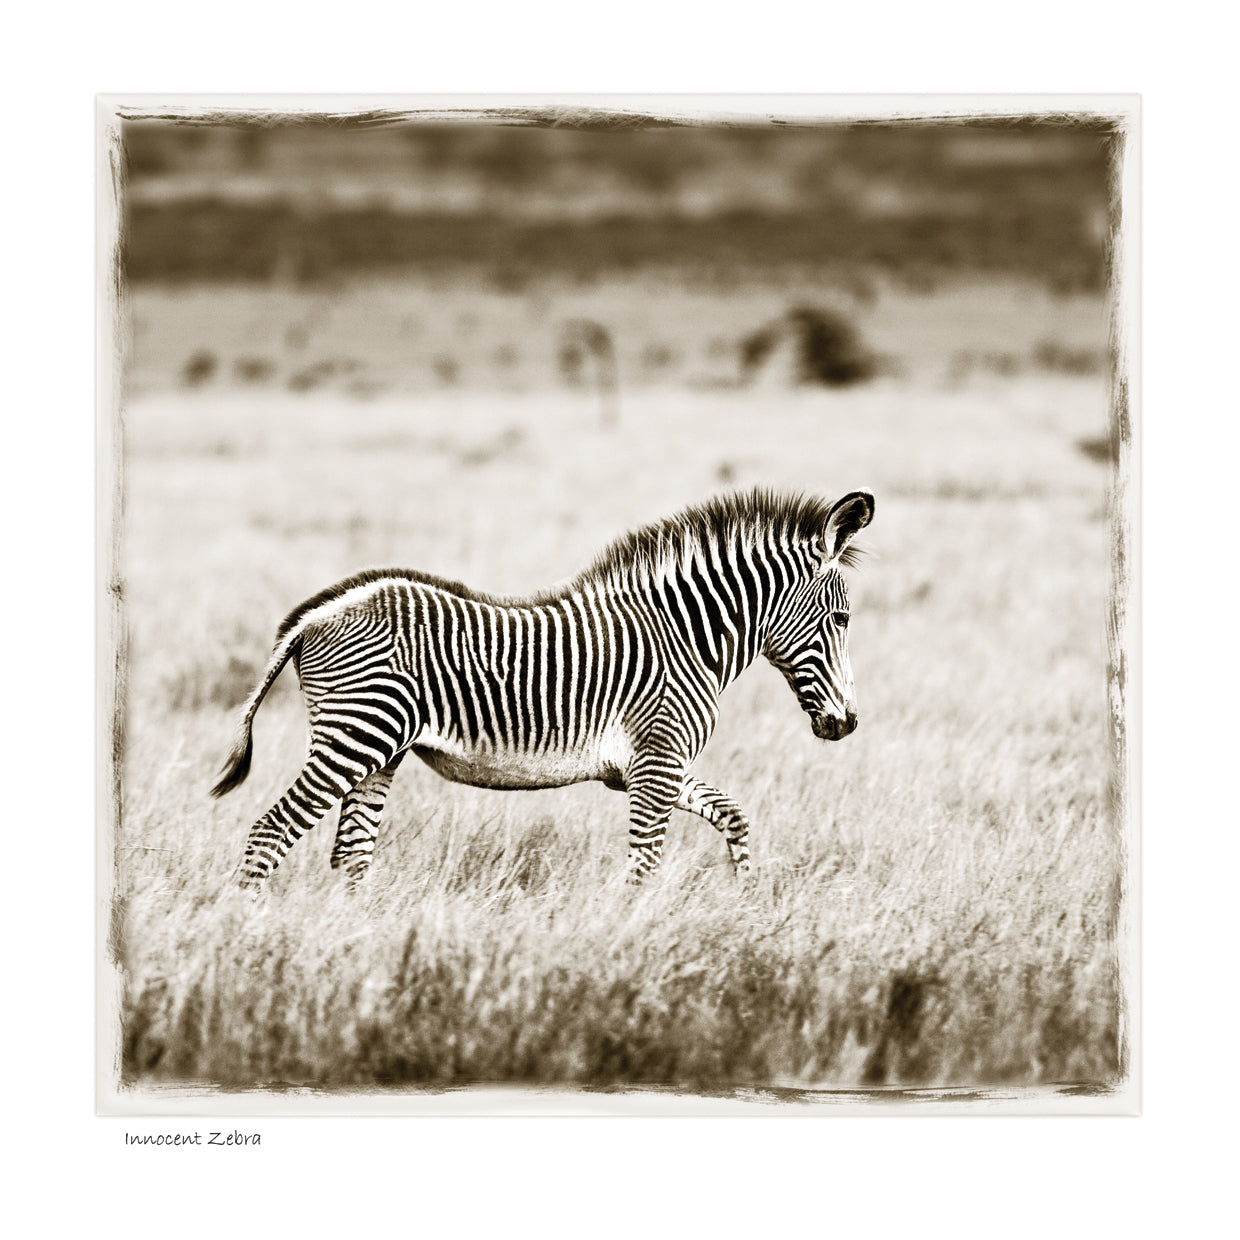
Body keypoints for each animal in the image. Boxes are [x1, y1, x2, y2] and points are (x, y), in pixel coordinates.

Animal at [211, 487, 874, 891]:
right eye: (843, 619)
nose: (846, 724)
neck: (688, 636)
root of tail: (315, 615)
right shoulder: (657, 764)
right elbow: (644, 863)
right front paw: (634, 943)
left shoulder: (648, 768)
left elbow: (734, 818)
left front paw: (747, 904)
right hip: (355, 736)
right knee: (270, 833)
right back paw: (253, 937)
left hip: (379, 750)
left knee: (351, 851)